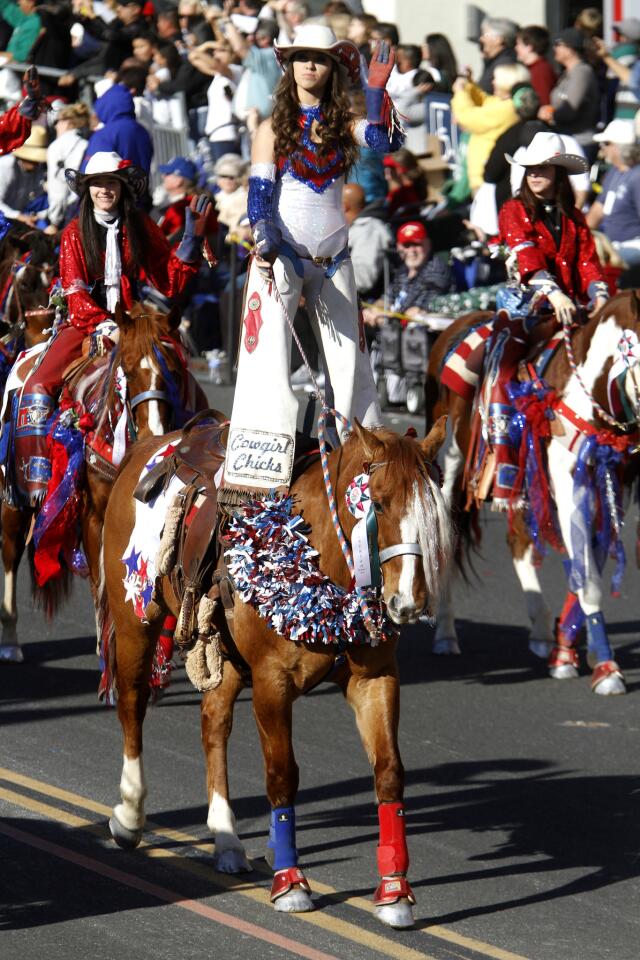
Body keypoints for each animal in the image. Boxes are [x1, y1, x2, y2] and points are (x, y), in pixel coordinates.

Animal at [0, 304, 205, 664]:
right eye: (128, 370)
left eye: (173, 370)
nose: (154, 432)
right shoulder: (95, 517)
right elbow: (101, 583)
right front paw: (108, 646)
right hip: (15, 499)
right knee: (10, 552)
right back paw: (10, 640)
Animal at [101, 412, 450, 928]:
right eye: (380, 504)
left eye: (433, 510)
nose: (407, 602)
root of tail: (153, 444)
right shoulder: (271, 682)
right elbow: (282, 775)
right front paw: (290, 882)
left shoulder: (375, 680)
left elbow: (389, 772)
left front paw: (394, 892)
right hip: (135, 622)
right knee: (131, 706)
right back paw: (128, 817)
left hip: (222, 656)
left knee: (213, 724)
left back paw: (227, 841)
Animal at [428, 288, 640, 692]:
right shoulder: (570, 483)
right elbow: (587, 576)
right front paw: (606, 669)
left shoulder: (611, 485)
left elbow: (586, 564)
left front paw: (567, 652)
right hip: (452, 466)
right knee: (446, 539)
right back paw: (445, 634)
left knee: (519, 544)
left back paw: (541, 631)